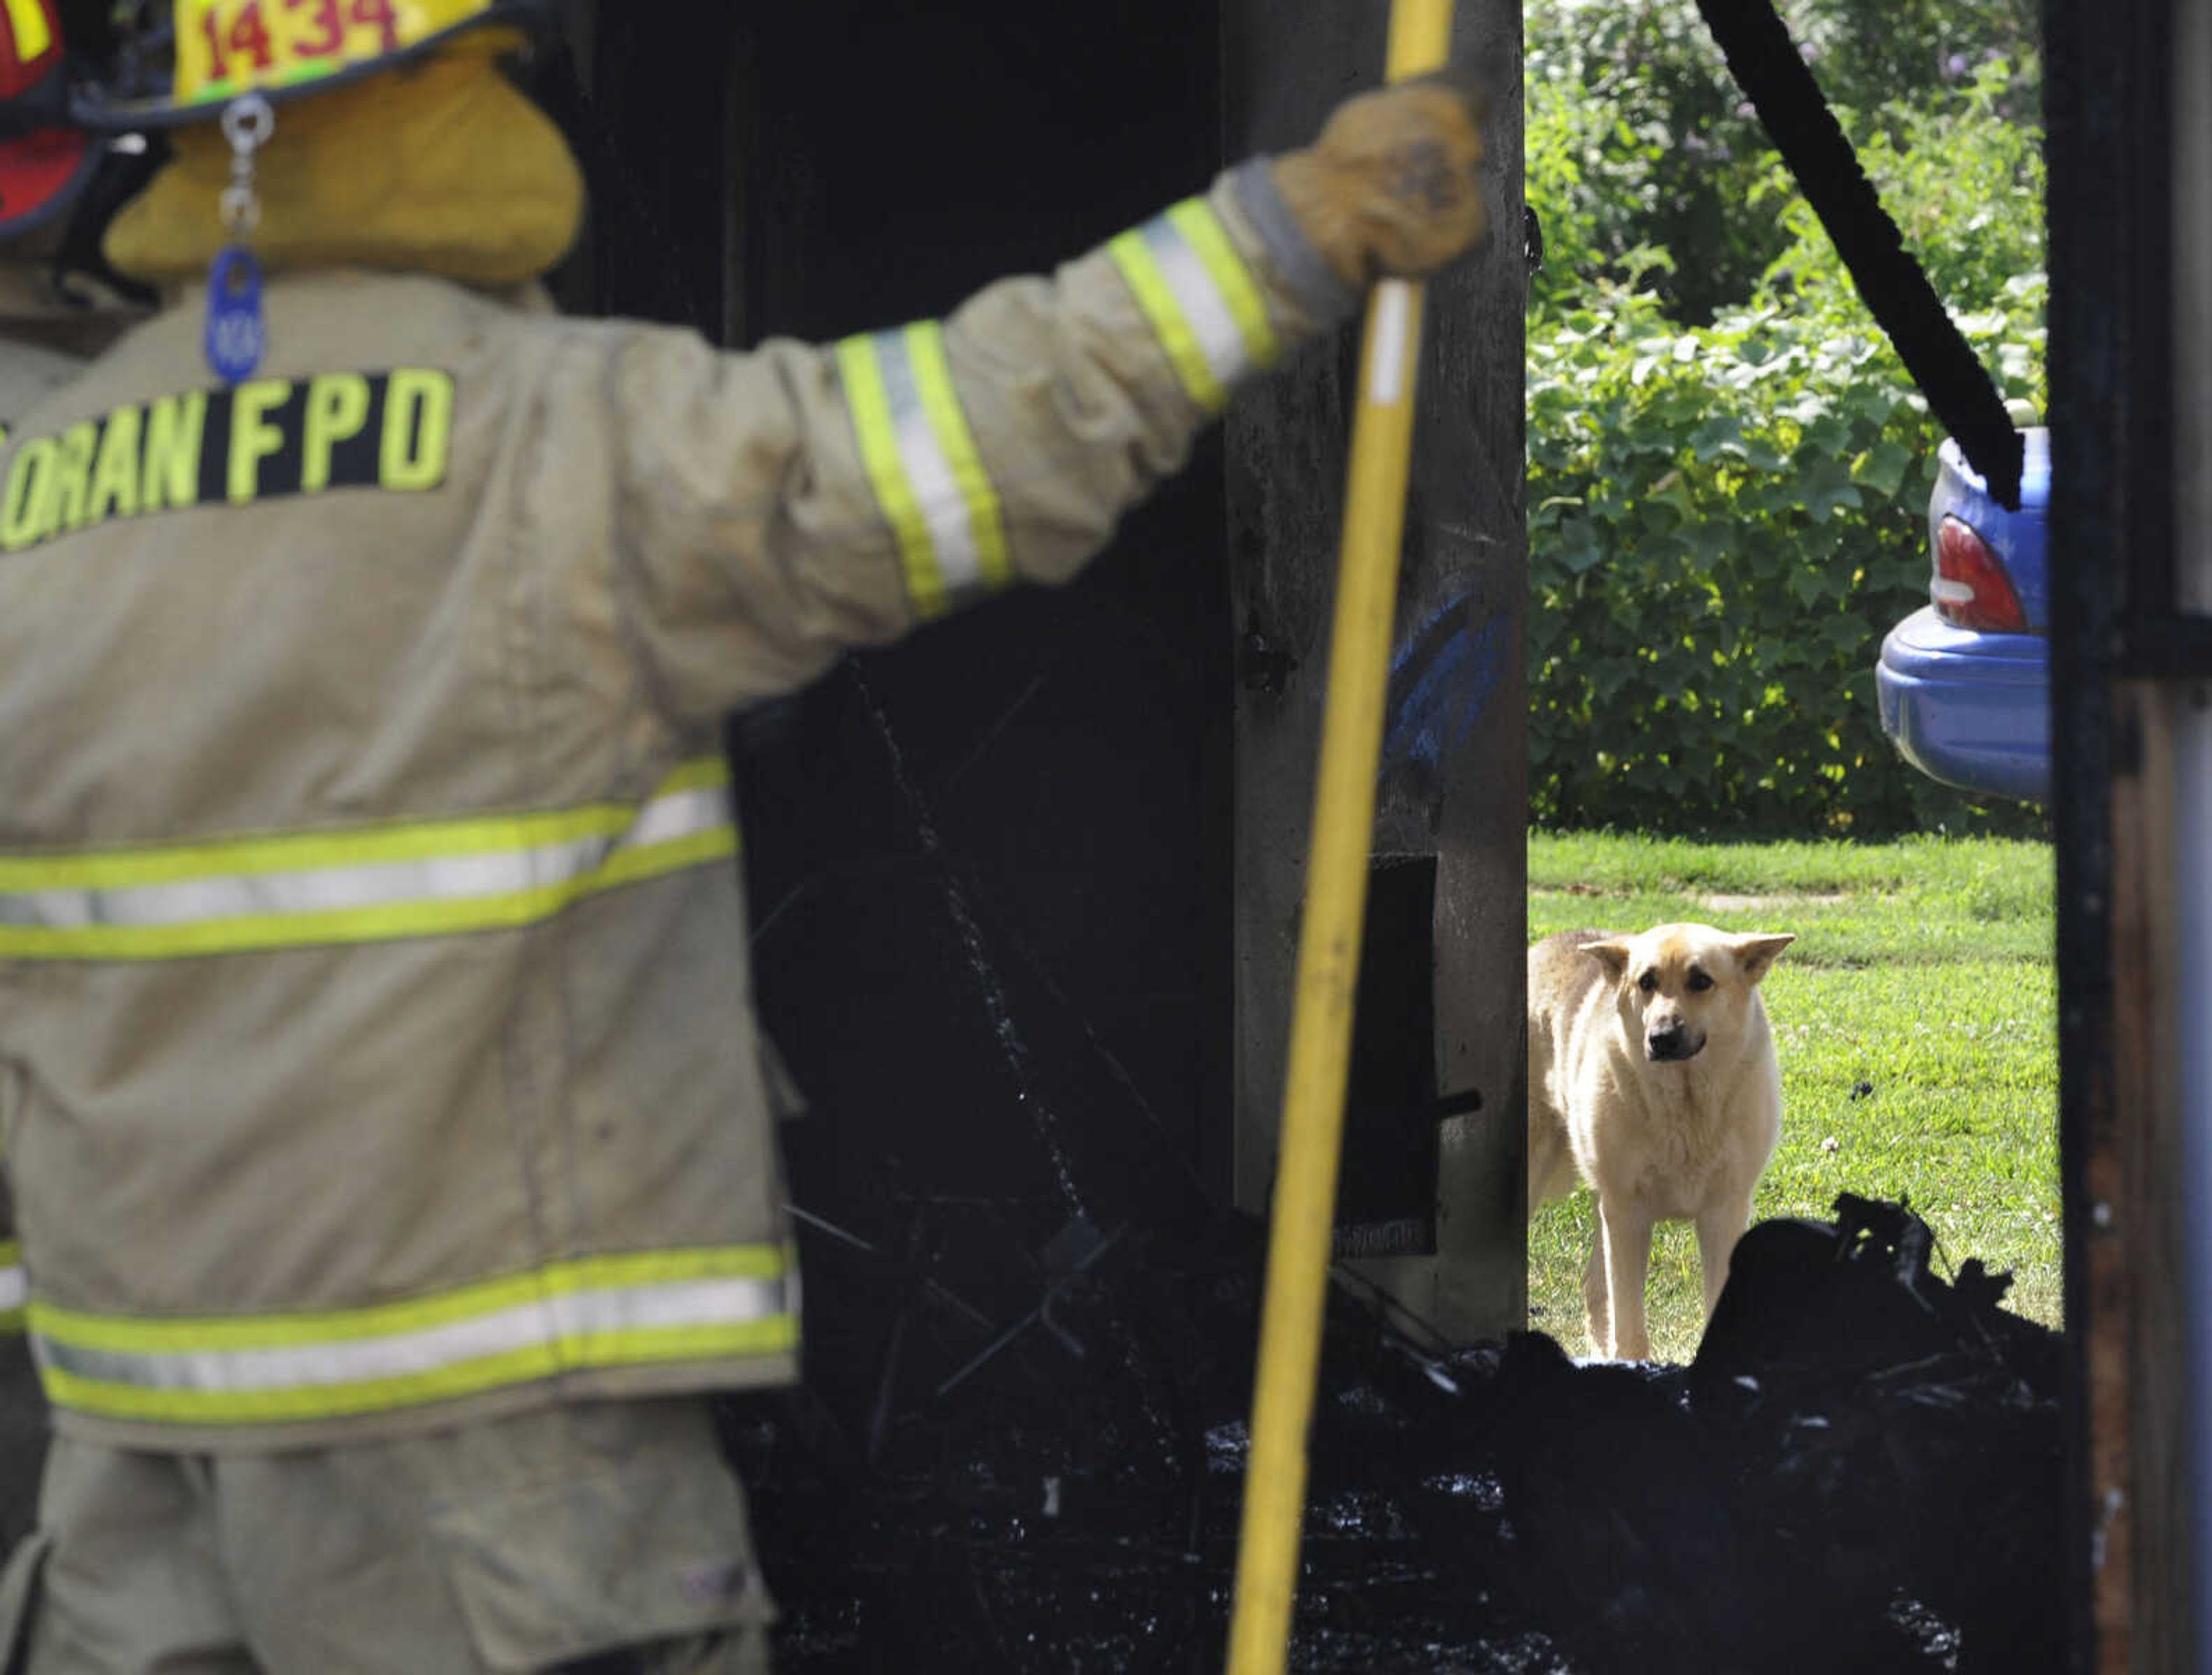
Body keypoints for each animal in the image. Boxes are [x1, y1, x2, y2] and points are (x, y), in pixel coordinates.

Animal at [1521, 929, 1796, 1363]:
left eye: (1701, 981)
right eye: (1646, 982)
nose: (1661, 1038)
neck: (1684, 1106)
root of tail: (1546, 944)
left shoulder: (1723, 1214)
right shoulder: (1627, 1216)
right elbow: (1630, 1325)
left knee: (1594, 1287)